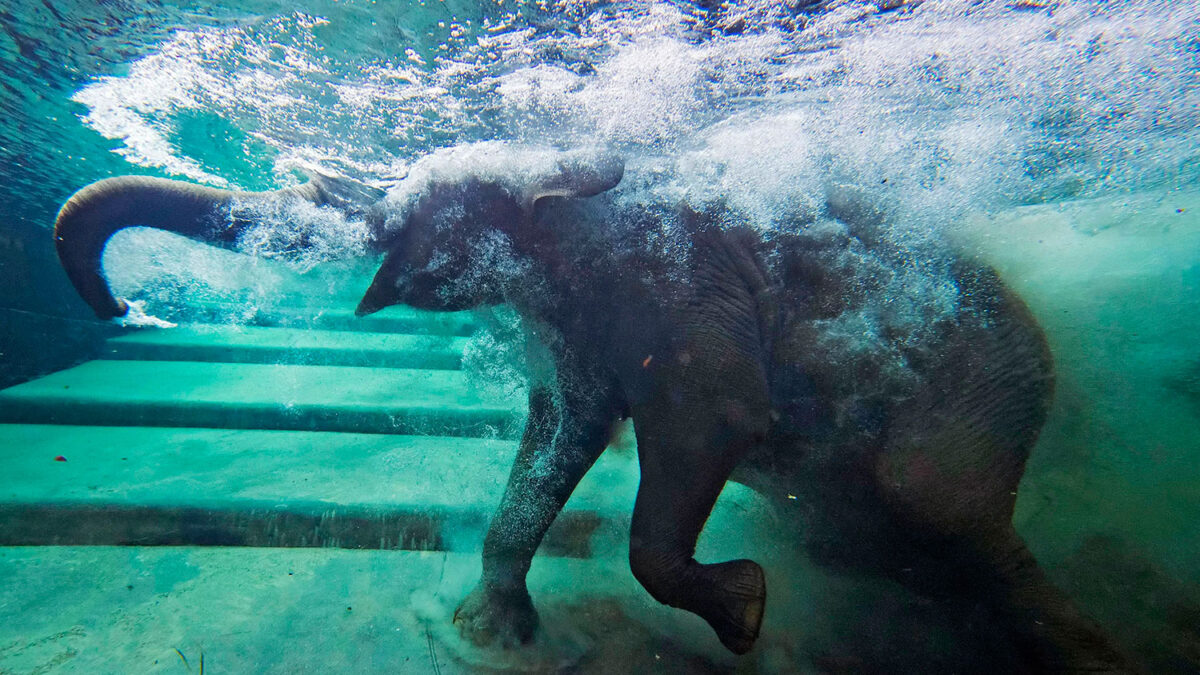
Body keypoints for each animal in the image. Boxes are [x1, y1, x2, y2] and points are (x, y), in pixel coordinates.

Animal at [51, 145, 1128, 667]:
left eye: (409, 210)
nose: (122, 309)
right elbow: (560, 434)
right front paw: (488, 636)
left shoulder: (683, 283)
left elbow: (709, 423)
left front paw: (745, 615)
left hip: (987, 381)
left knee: (932, 499)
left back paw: (1086, 652)